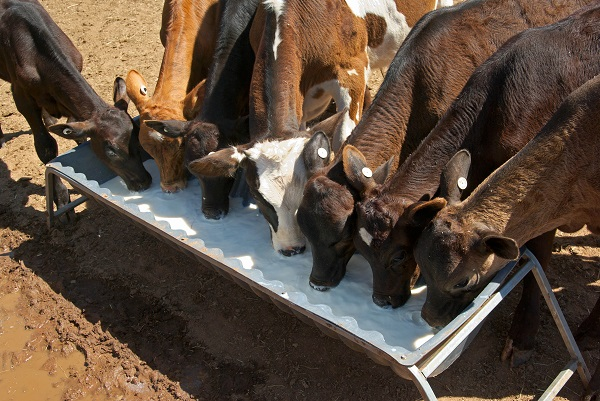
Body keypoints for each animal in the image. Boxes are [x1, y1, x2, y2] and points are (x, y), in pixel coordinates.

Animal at [0, 0, 150, 212]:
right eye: (111, 151)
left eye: (138, 137)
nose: (144, 181)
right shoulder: (21, 97)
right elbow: (46, 147)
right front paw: (62, 199)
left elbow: (76, 130)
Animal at [344, 1, 600, 366]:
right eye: (360, 249)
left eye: (399, 255)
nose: (381, 301)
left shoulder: (549, 191)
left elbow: (537, 255)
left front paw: (523, 336)